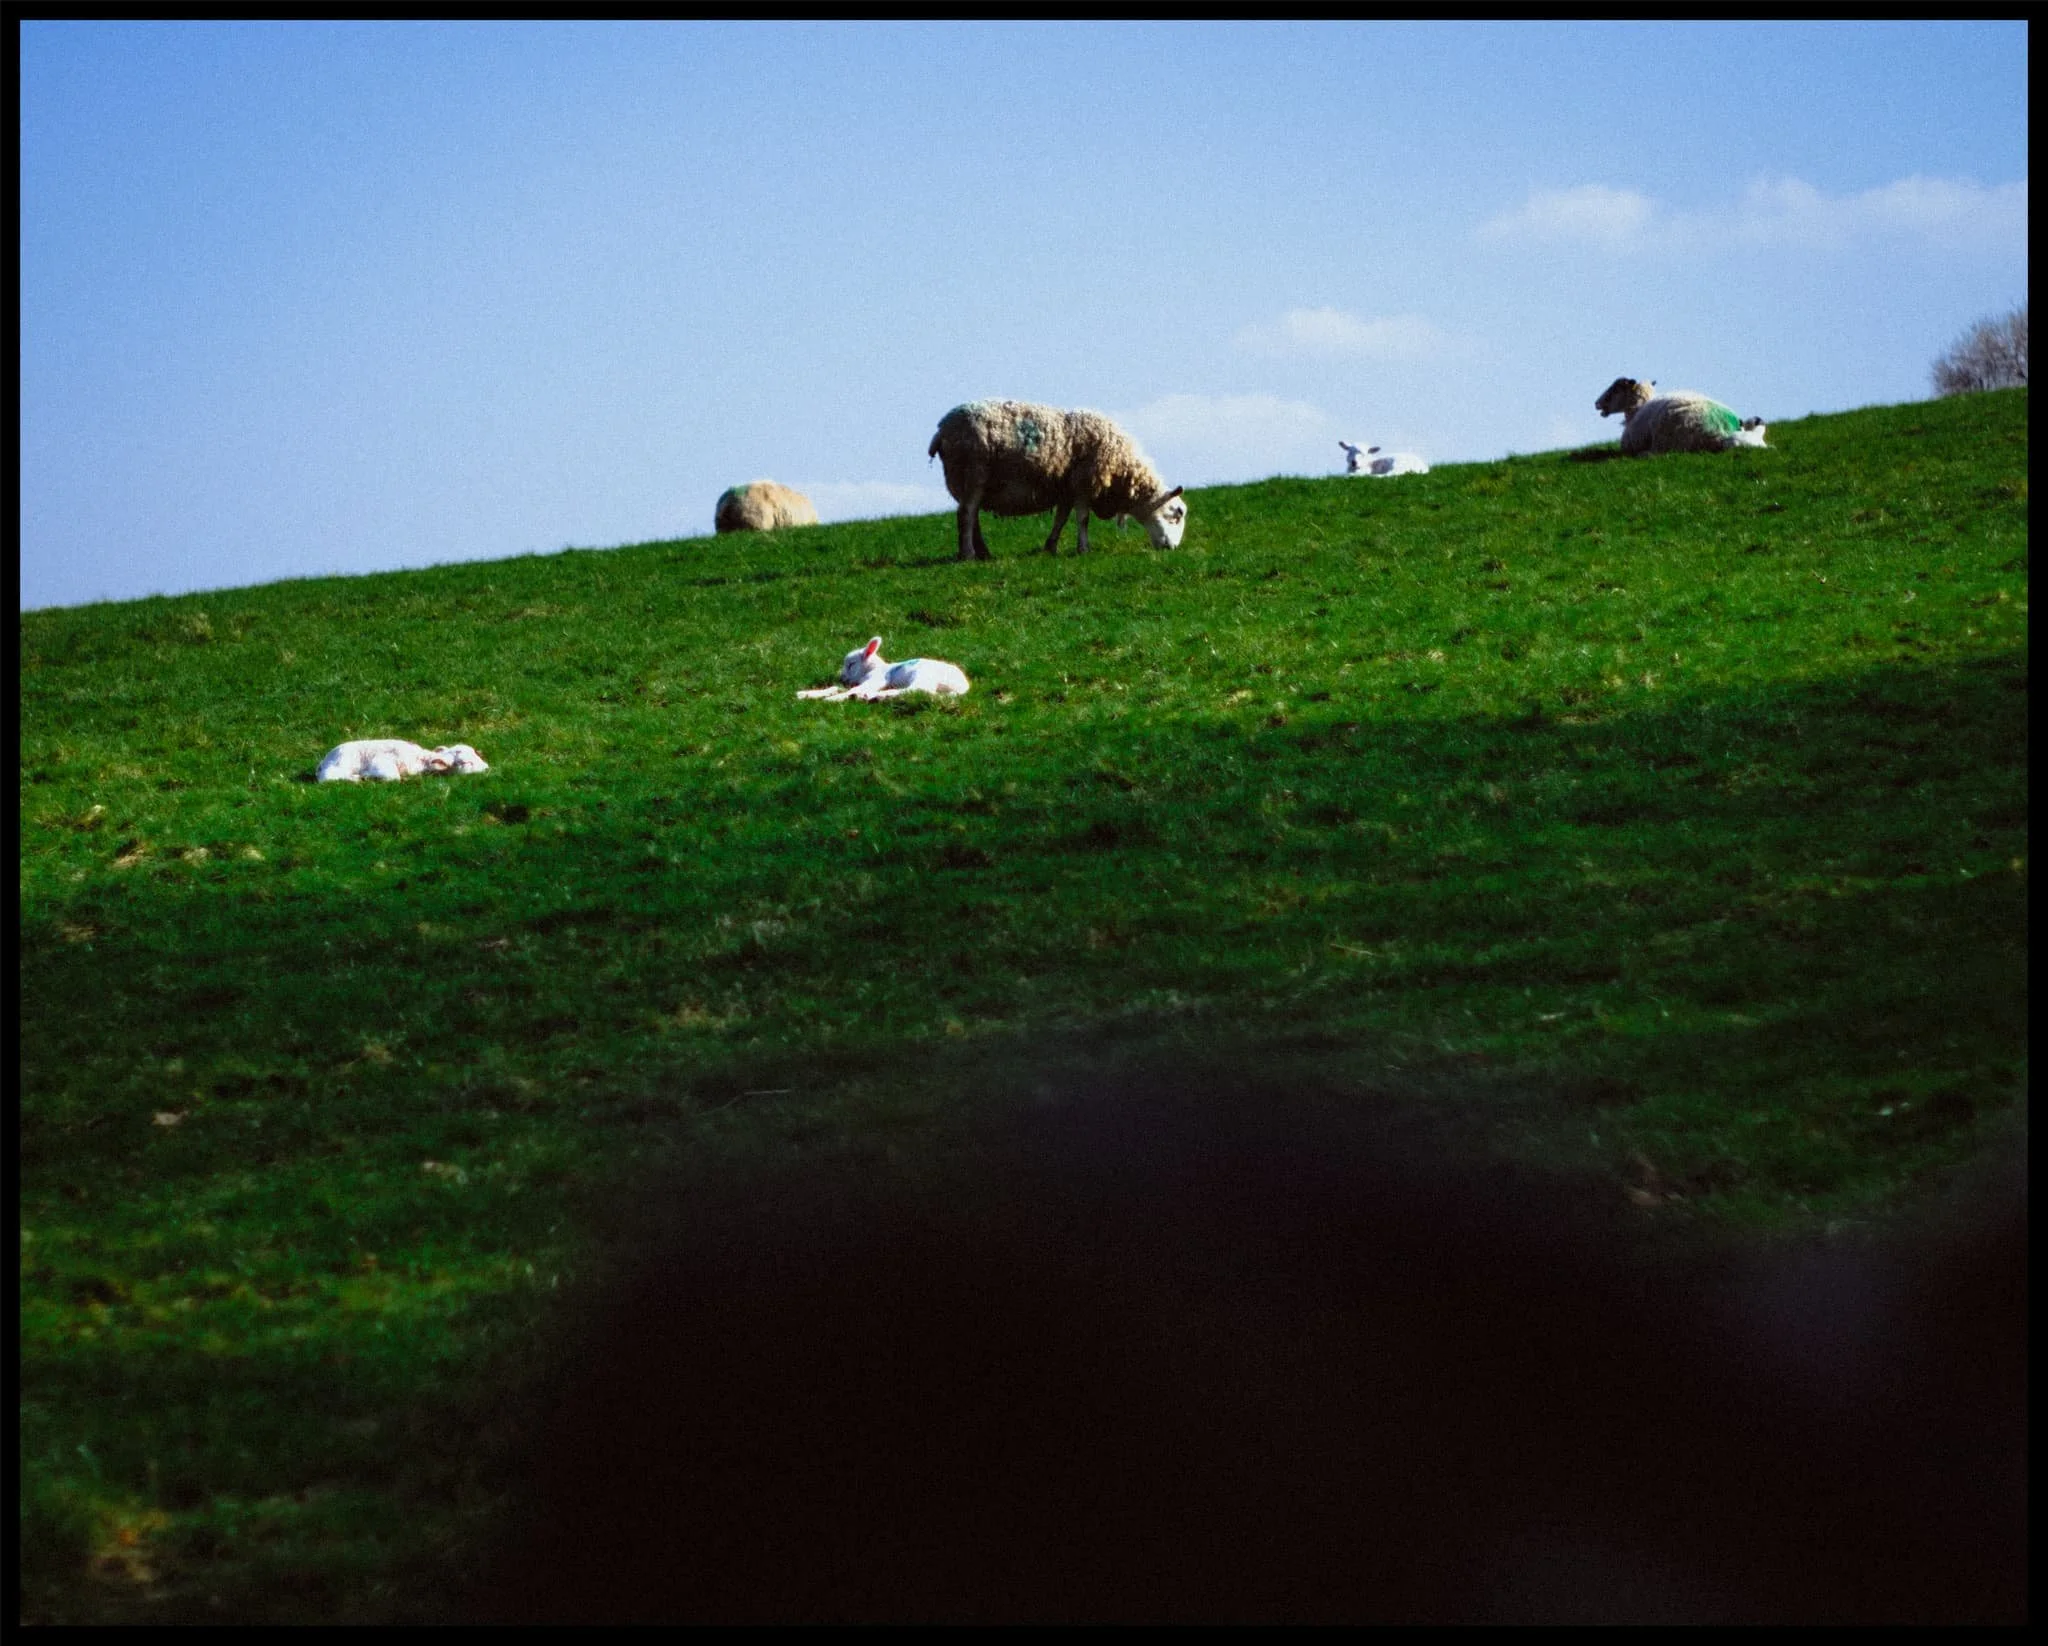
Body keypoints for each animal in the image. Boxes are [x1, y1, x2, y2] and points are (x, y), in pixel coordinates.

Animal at [316, 739, 489, 783]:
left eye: (476, 754)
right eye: (465, 763)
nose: (487, 768)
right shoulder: (381, 762)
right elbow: (393, 777)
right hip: (339, 766)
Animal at [797, 636, 970, 700]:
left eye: (851, 664)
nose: (842, 677)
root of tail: (963, 686)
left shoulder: (877, 678)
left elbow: (853, 689)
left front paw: (834, 699)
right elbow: (835, 688)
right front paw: (805, 694)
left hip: (924, 677)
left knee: (918, 690)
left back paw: (878, 696)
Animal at [927, 400, 1186, 562]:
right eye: (1175, 516)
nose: (1172, 549)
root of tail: (942, 430)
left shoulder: (1067, 489)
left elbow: (1061, 519)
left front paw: (1050, 547)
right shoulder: (1083, 484)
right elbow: (1083, 519)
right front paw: (1083, 549)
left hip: (967, 480)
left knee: (972, 517)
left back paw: (983, 553)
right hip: (973, 473)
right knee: (966, 515)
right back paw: (968, 554)